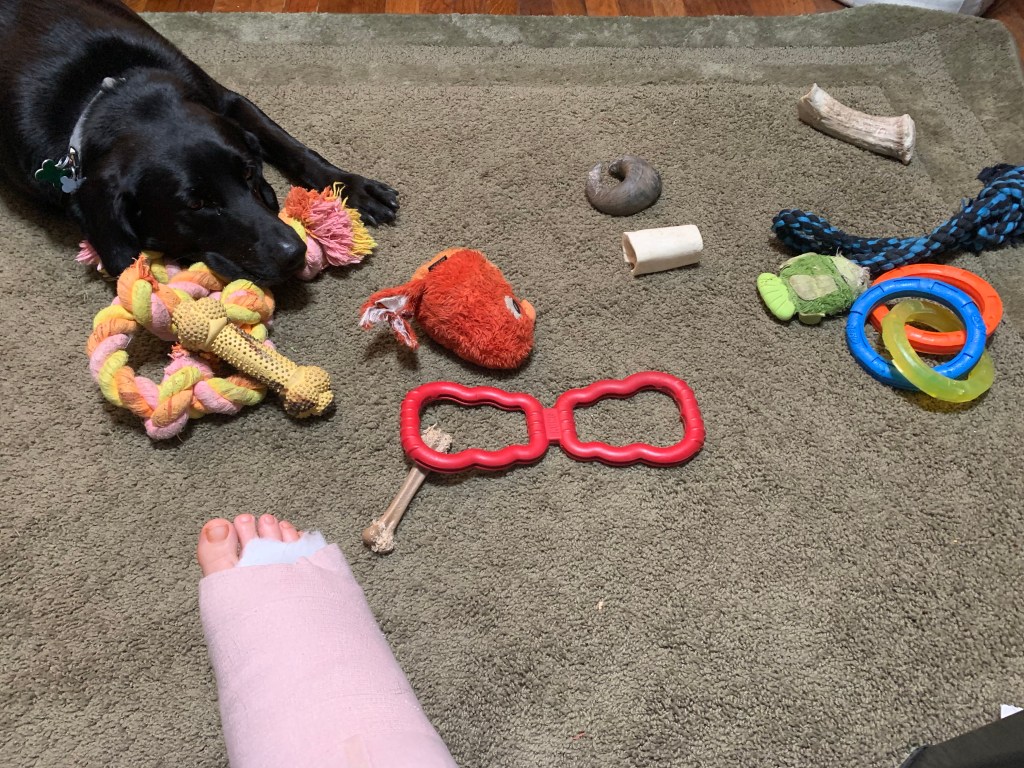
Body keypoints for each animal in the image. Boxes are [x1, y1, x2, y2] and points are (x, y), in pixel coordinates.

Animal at [0, 0, 399, 285]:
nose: (295, 253)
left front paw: (352, 187)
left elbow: (291, 146)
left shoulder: (227, 100)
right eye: (195, 204)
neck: (108, 98)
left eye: (249, 173)